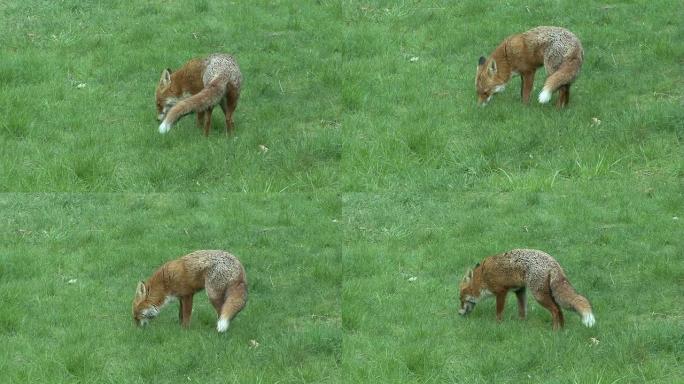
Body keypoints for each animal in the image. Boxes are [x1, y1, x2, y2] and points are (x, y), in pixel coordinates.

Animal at [460, 249, 592, 330]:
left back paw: (554, 330)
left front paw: (497, 325)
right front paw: (522, 325)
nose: (459, 313)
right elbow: (522, 311)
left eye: (461, 298)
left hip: (539, 296)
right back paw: (562, 330)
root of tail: (553, 262)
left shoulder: (501, 292)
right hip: (548, 294)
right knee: (560, 310)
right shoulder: (520, 290)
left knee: (555, 310)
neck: (483, 277)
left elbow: (499, 312)